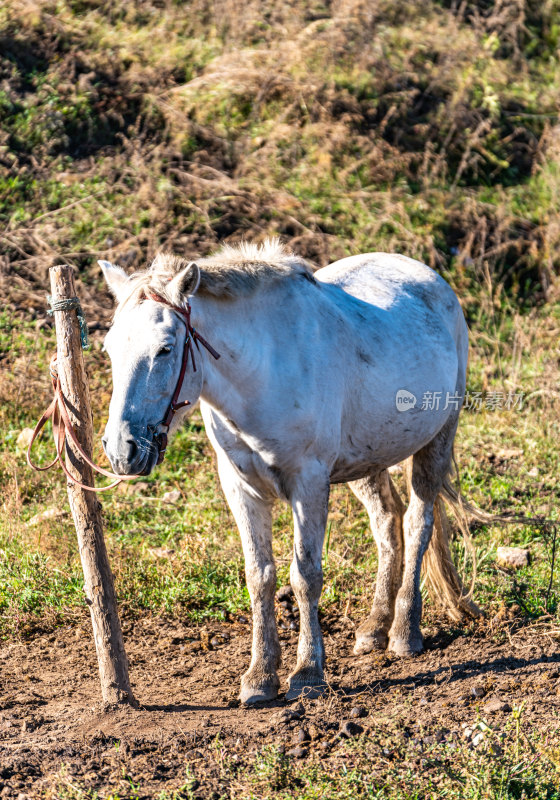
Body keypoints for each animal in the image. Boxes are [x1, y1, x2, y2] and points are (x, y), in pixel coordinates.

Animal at [98, 241, 480, 704]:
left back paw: (405, 631)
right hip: (367, 461)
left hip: (436, 441)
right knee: (387, 523)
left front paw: (307, 672)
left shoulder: (308, 483)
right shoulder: (241, 489)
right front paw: (260, 676)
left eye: (166, 348)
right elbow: (259, 576)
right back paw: (374, 626)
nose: (122, 449)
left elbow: (305, 577)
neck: (263, 372)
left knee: (417, 523)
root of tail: (431, 278)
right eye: (109, 349)